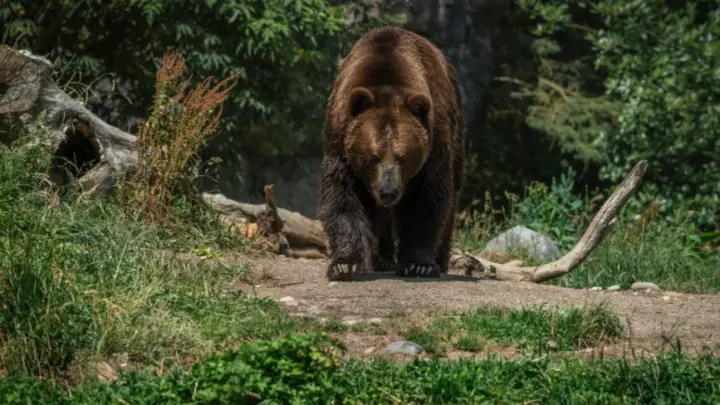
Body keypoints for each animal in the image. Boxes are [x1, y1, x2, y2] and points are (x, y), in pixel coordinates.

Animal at [317, 26, 465, 281]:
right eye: (373, 156)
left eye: (403, 157)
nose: (388, 192)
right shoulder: (340, 141)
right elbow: (343, 197)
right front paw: (345, 264)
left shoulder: (434, 143)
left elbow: (427, 199)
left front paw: (419, 264)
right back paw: (382, 259)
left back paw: (439, 260)